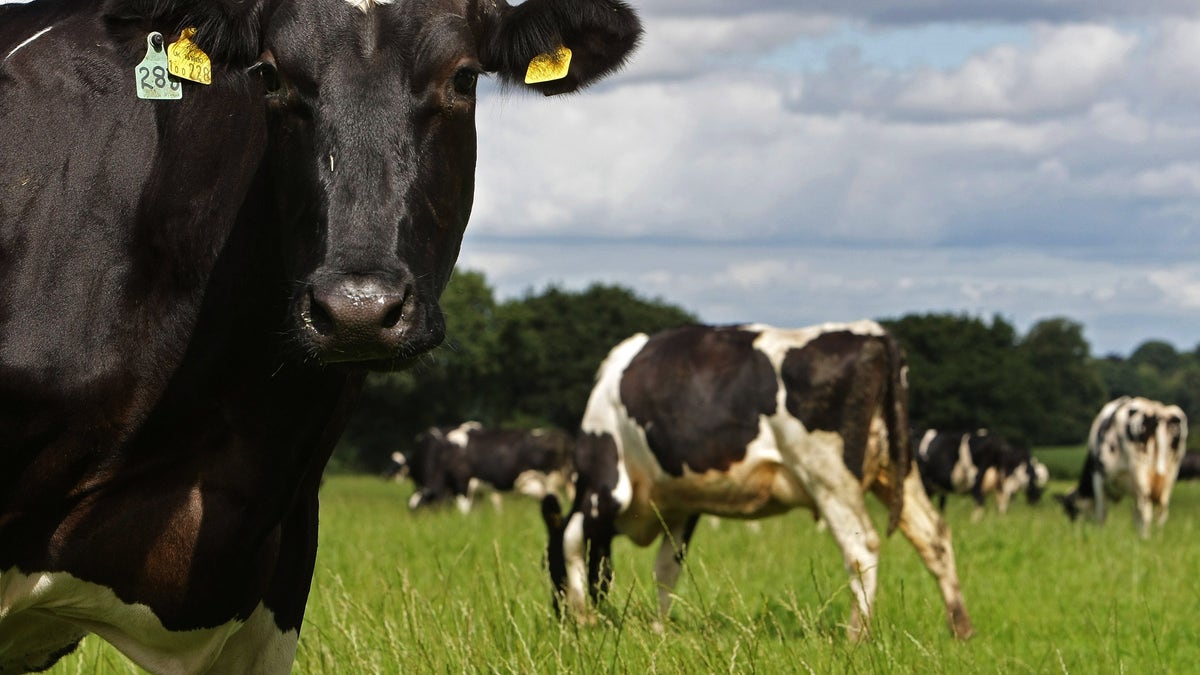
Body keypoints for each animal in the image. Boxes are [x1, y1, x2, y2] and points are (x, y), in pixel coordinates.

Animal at [544, 324, 974, 638]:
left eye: (546, 565)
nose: (556, 614)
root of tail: (871, 334)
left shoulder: (607, 486)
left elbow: (570, 539)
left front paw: (582, 618)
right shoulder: (681, 506)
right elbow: (667, 567)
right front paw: (658, 630)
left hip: (829, 476)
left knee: (862, 548)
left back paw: (856, 636)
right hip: (896, 469)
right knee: (934, 536)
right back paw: (960, 629)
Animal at [1065, 393, 1185, 535]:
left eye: (1071, 511)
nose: (1074, 527)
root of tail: (1157, 413)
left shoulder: (1098, 477)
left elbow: (1101, 512)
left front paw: (1100, 533)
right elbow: (1135, 514)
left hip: (1140, 472)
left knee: (1146, 513)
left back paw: (1145, 537)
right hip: (1170, 476)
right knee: (1161, 513)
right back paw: (1157, 537)